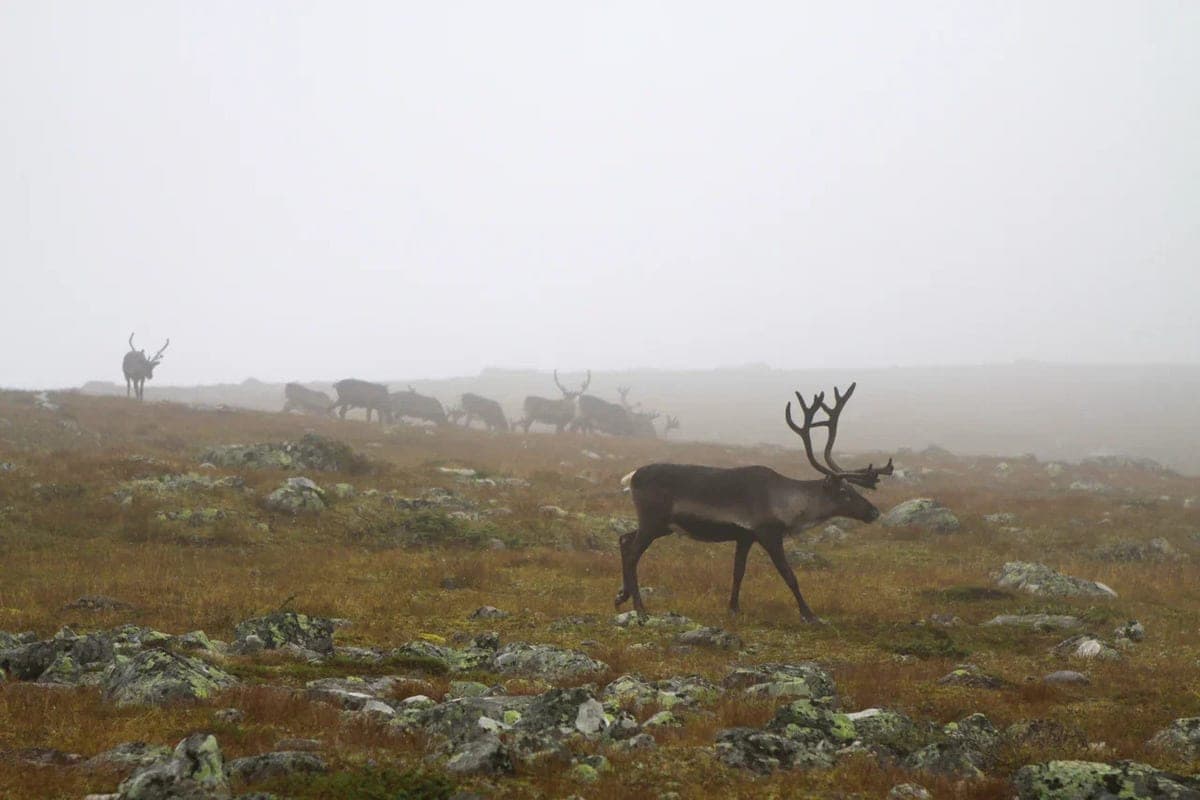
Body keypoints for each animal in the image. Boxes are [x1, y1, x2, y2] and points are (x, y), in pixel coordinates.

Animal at [615, 383, 893, 623]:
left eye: (854, 488)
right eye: (844, 492)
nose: (874, 512)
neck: (787, 501)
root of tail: (632, 475)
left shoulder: (744, 536)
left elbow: (738, 571)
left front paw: (734, 608)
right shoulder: (768, 533)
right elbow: (789, 575)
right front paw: (810, 615)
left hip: (660, 526)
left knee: (624, 539)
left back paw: (621, 595)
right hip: (653, 521)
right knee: (632, 554)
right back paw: (640, 609)